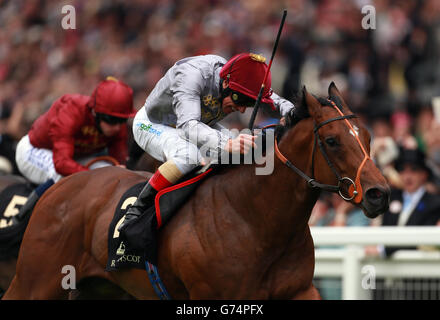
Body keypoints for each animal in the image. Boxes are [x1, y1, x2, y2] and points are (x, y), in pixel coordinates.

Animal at [3, 83, 388, 300]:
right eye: (332, 141)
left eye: (368, 137)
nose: (379, 194)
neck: (255, 221)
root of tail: (60, 188)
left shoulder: (300, 291)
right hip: (37, 280)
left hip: (101, 289)